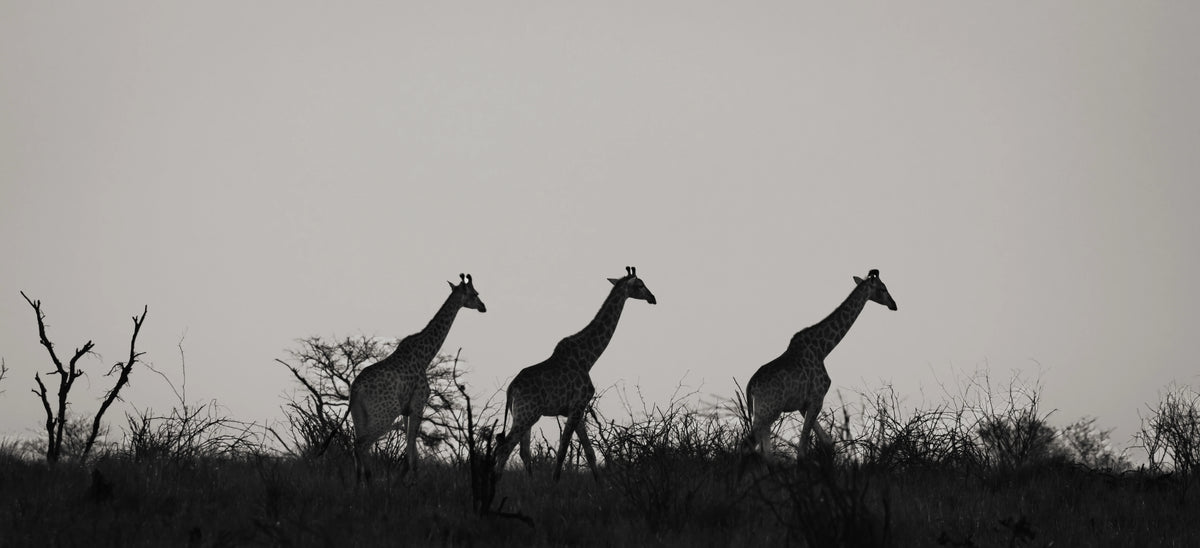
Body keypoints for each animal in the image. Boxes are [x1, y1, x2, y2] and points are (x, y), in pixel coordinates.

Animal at [349, 273, 486, 483]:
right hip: (385, 413)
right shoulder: (418, 403)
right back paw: (370, 483)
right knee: (362, 445)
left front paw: (403, 480)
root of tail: (356, 389)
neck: (425, 356)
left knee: (355, 446)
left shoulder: (407, 410)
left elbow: (411, 449)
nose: (483, 306)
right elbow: (412, 453)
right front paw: (408, 482)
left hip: (359, 416)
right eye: (475, 293)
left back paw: (358, 486)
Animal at [495, 266, 656, 481]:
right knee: (505, 448)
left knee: (523, 451)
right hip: (527, 414)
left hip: (521, 415)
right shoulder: (577, 405)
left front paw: (602, 485)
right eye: (640, 284)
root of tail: (511, 389)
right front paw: (554, 484)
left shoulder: (578, 408)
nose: (653, 298)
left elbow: (589, 452)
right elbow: (563, 451)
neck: (588, 358)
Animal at [744, 268, 897, 460]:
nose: (894, 304)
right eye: (883, 288)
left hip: (763, 413)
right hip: (769, 410)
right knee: (747, 445)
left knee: (765, 453)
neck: (823, 349)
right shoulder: (817, 398)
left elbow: (827, 441)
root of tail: (751, 386)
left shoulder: (804, 405)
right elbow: (802, 449)